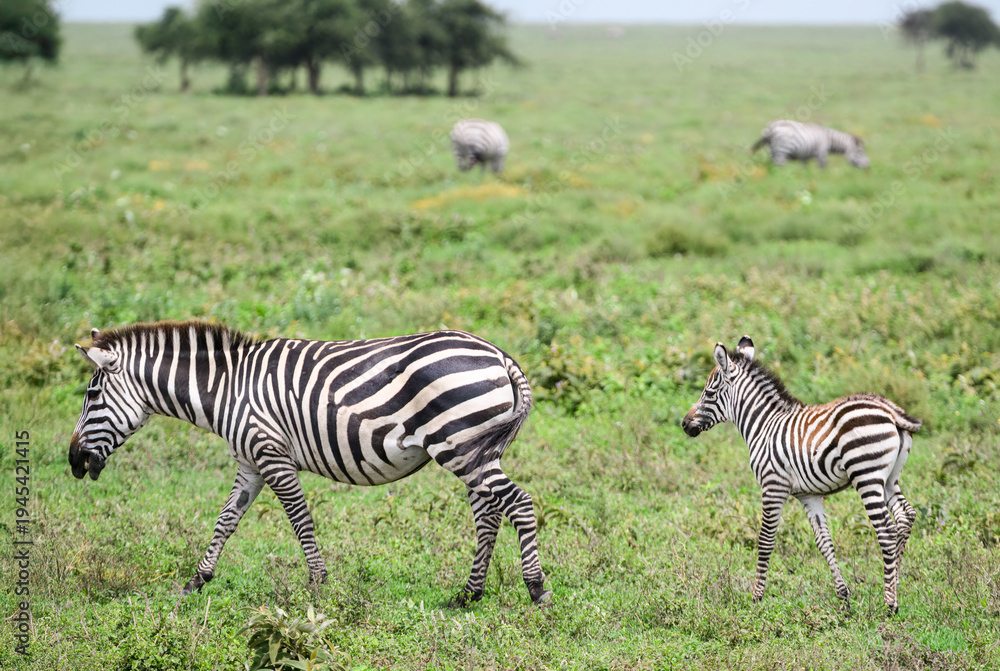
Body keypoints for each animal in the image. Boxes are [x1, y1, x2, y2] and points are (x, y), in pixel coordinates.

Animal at [69, 321, 550, 606]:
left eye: (91, 395)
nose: (73, 463)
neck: (227, 389)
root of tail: (501, 355)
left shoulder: (272, 454)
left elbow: (300, 519)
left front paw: (318, 583)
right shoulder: (250, 463)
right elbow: (225, 521)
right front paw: (196, 581)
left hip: (460, 445)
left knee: (519, 504)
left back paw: (536, 589)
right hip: (475, 450)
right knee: (489, 514)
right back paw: (469, 594)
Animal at [681, 336, 920, 614]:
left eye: (708, 393)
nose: (684, 425)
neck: (764, 425)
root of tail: (891, 410)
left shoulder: (773, 486)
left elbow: (765, 541)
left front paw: (756, 599)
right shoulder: (809, 495)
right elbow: (824, 542)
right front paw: (844, 599)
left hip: (866, 476)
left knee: (886, 530)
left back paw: (890, 603)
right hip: (889, 479)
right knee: (906, 516)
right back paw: (895, 580)